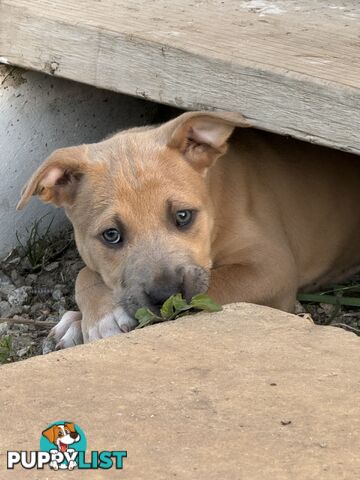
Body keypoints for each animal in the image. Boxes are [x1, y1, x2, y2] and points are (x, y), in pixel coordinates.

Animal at [17, 110, 360, 346]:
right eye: (111, 235)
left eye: (183, 216)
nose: (166, 293)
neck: (216, 198)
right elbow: (84, 273)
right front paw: (95, 317)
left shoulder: (270, 267)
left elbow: (213, 287)